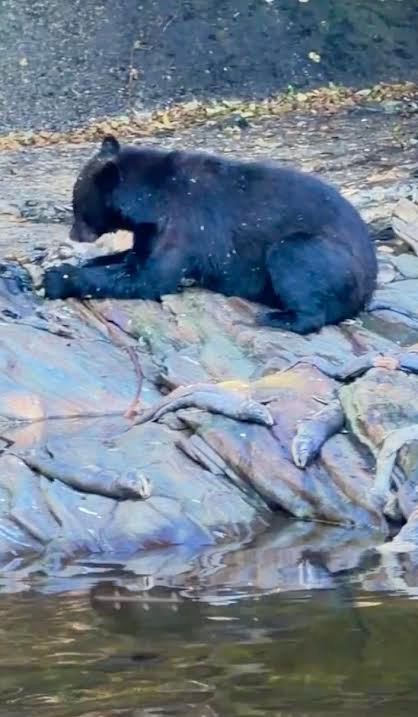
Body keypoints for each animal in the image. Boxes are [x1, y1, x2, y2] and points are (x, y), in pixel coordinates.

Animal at [43, 134, 377, 335]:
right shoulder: (151, 229)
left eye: (77, 207)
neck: (153, 199)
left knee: (295, 260)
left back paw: (277, 317)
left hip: (325, 255)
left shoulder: (186, 225)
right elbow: (134, 258)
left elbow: (150, 278)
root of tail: (370, 285)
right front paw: (84, 263)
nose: (73, 235)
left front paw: (58, 278)